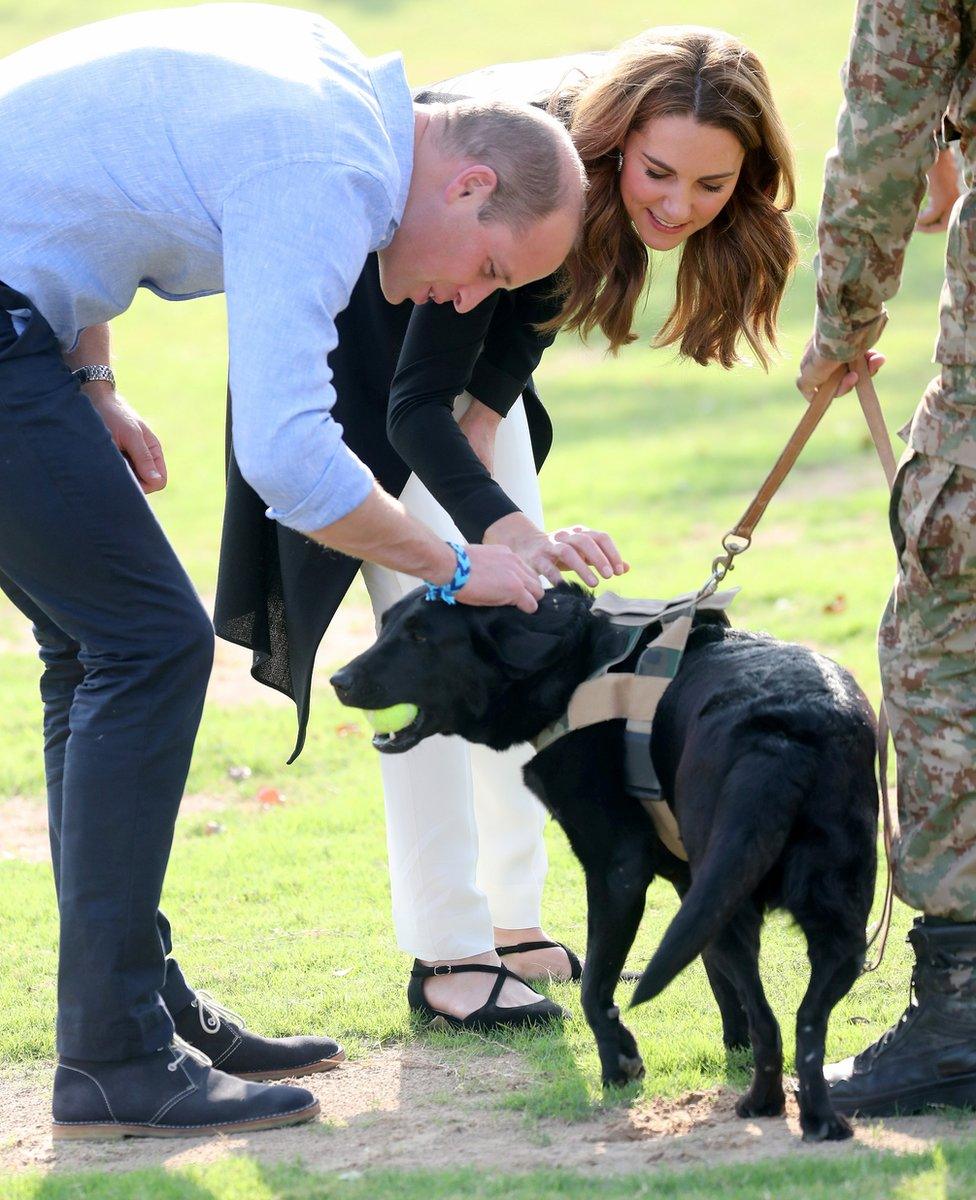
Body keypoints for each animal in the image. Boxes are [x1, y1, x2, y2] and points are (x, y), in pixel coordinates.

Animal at [331, 585, 878, 1137]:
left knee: (772, 1018)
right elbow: (719, 983)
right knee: (806, 1019)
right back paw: (819, 1120)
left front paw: (619, 1065)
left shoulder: (618, 872)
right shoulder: (692, 887)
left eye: (421, 636)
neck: (575, 661)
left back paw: (762, 1104)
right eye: (386, 627)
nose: (338, 681)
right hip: (837, 928)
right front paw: (731, 1049)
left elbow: (595, 986)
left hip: (734, 908)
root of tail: (782, 735)